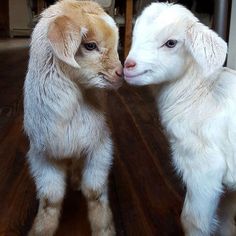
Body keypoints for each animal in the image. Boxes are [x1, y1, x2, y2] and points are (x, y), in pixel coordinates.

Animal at [24, 0, 122, 235]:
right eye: (90, 46)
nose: (121, 73)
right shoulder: (42, 155)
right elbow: (51, 199)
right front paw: (41, 229)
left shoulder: (100, 146)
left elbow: (94, 191)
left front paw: (104, 228)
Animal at [123, 2, 236, 236]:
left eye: (171, 43)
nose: (128, 66)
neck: (198, 95)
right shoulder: (228, 185)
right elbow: (226, 222)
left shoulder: (205, 169)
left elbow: (191, 221)